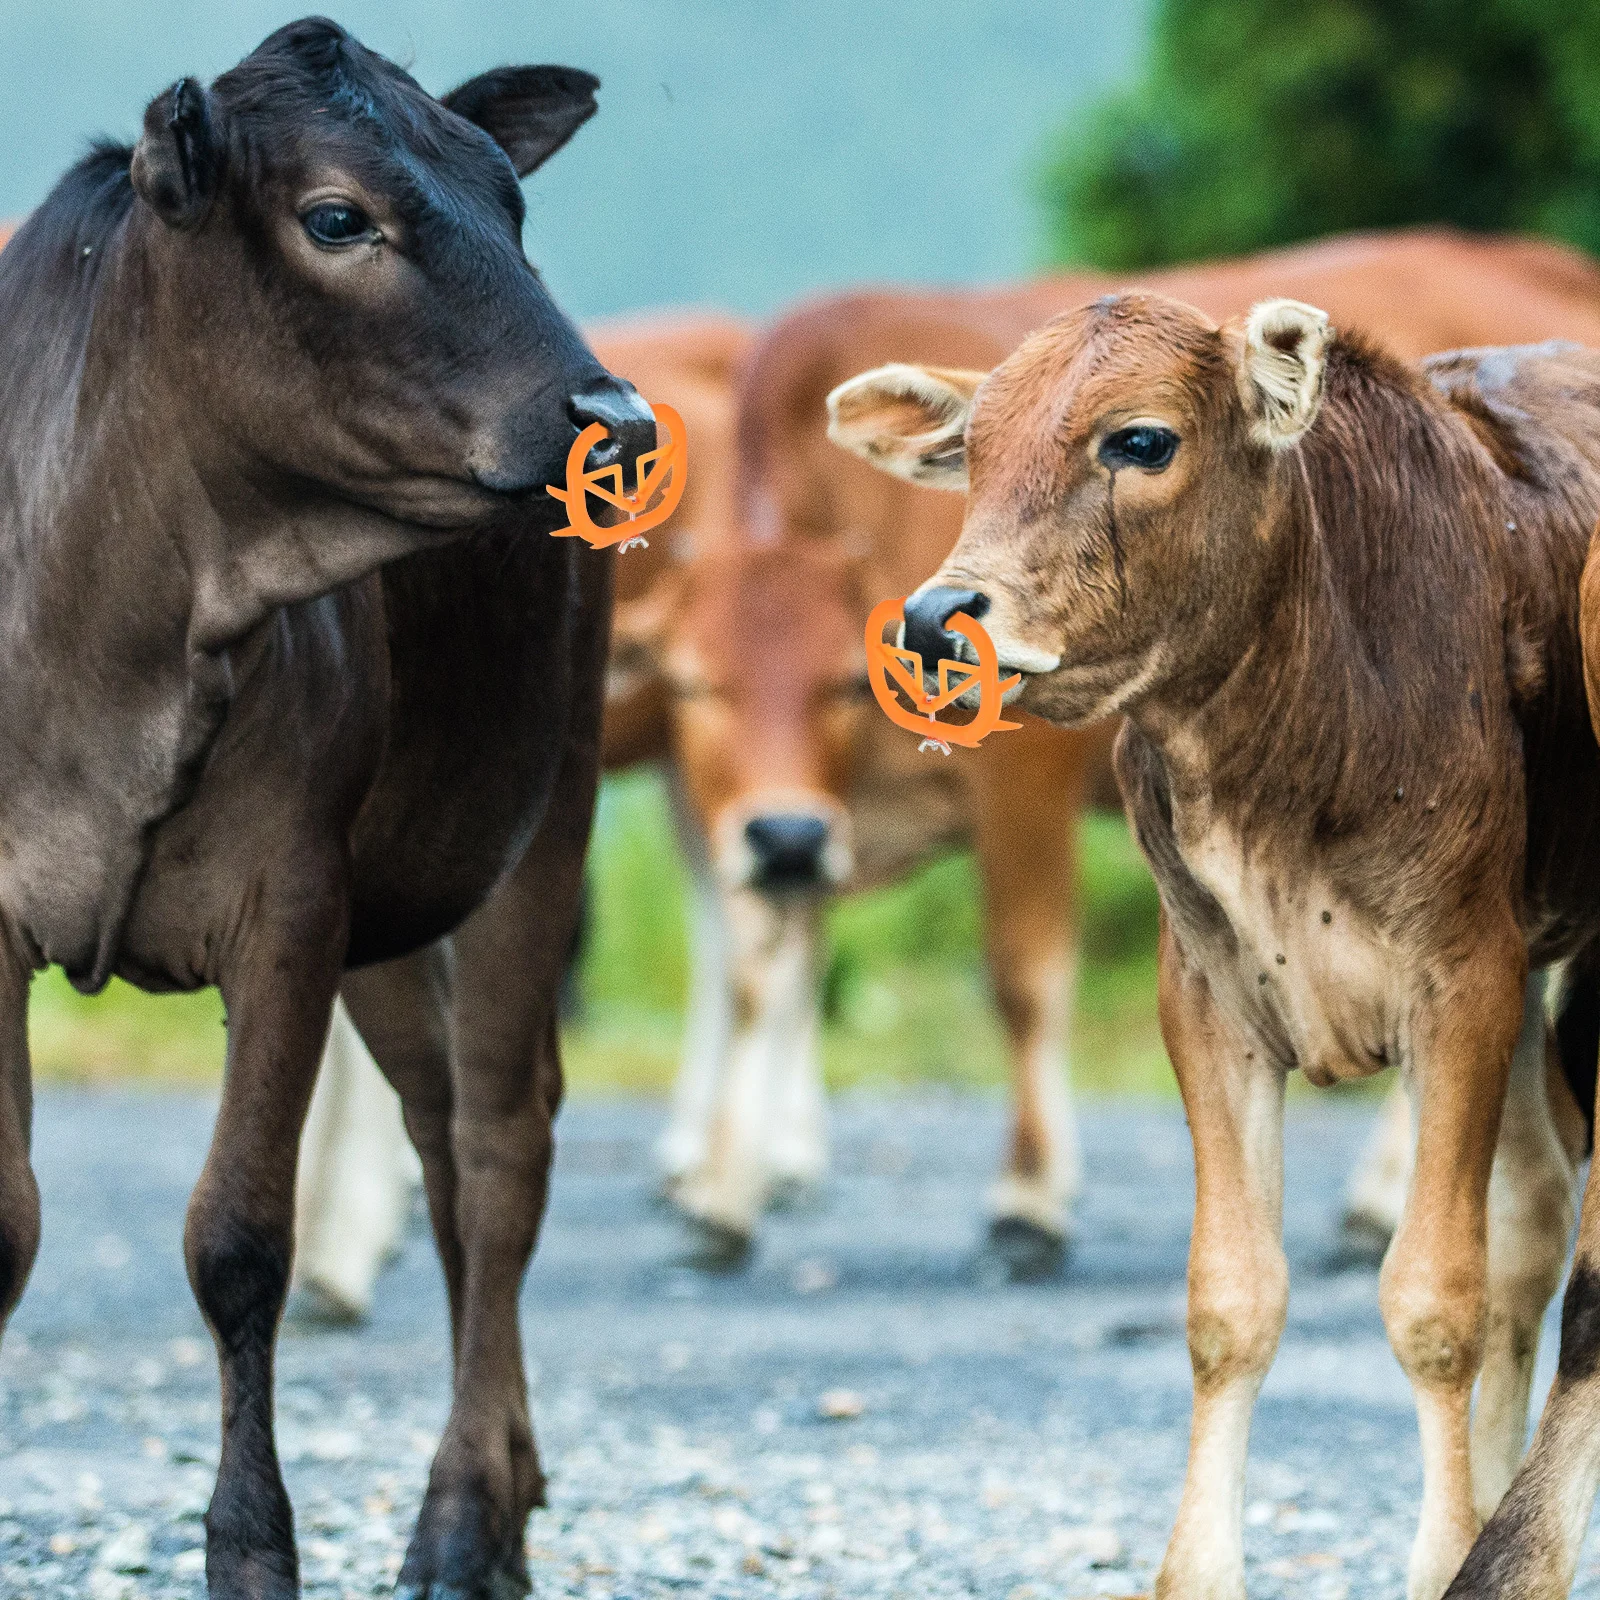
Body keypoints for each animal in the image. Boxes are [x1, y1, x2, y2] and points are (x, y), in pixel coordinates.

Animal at [0, 20, 654, 1600]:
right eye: (338, 217)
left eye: (514, 209)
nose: (614, 418)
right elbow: (6, 1221)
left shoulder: (287, 904)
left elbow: (240, 1238)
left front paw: (252, 1549)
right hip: (394, 919)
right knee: (438, 1144)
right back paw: (510, 1493)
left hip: (540, 820)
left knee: (501, 1150)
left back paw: (464, 1517)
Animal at [615, 229, 1600, 1275]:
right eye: (692, 685)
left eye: (844, 679)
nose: (935, 621)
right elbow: (760, 974)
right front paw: (725, 1196)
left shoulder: (1021, 782)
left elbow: (1022, 977)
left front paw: (1028, 1199)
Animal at [828, 299, 1600, 1599]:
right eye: (971, 450)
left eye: (1140, 440)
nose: (936, 620)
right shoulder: (1207, 998)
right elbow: (1229, 1302)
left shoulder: (1464, 984)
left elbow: (1434, 1297)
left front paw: (1444, 1554)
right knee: (1538, 1215)